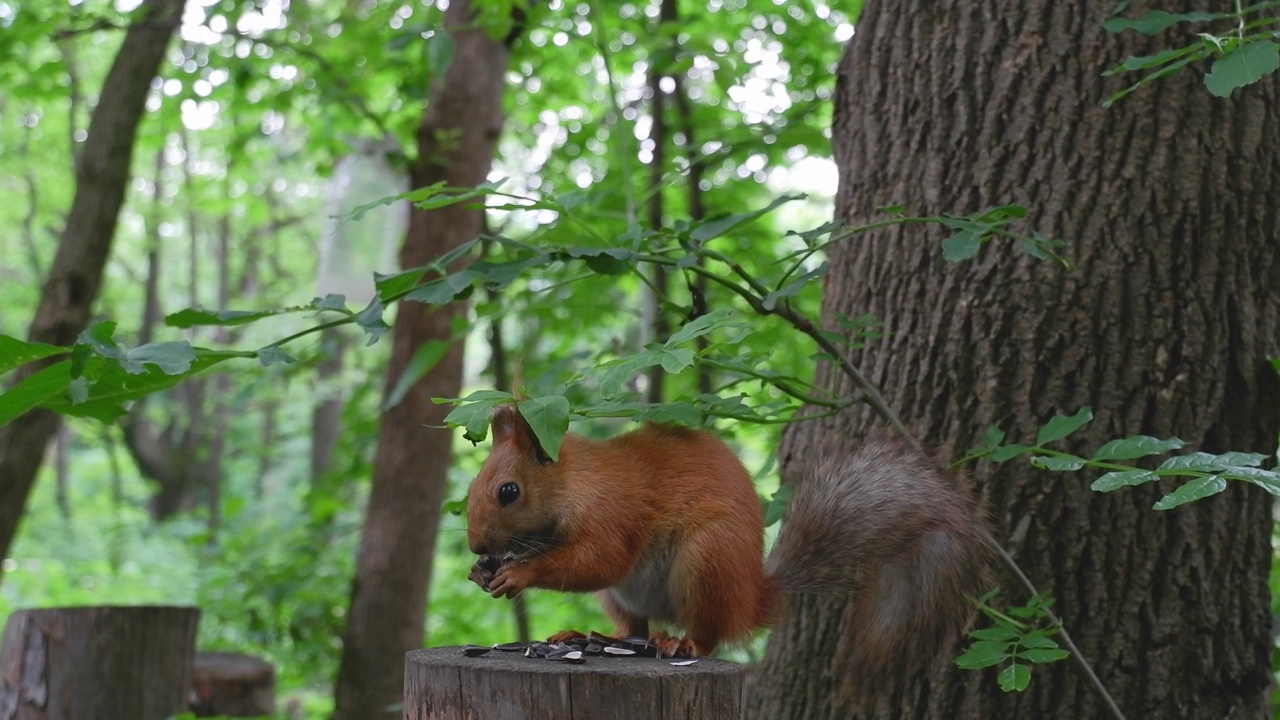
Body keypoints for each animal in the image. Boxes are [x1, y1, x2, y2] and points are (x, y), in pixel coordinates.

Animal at [465, 399, 993, 686]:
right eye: (472, 483)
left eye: (508, 492)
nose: (474, 546)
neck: (575, 482)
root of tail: (750, 599)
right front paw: (483, 573)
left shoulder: (611, 513)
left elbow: (600, 560)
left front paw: (519, 573)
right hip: (624, 597)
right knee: (633, 626)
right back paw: (591, 637)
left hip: (707, 562)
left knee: (708, 633)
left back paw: (679, 641)